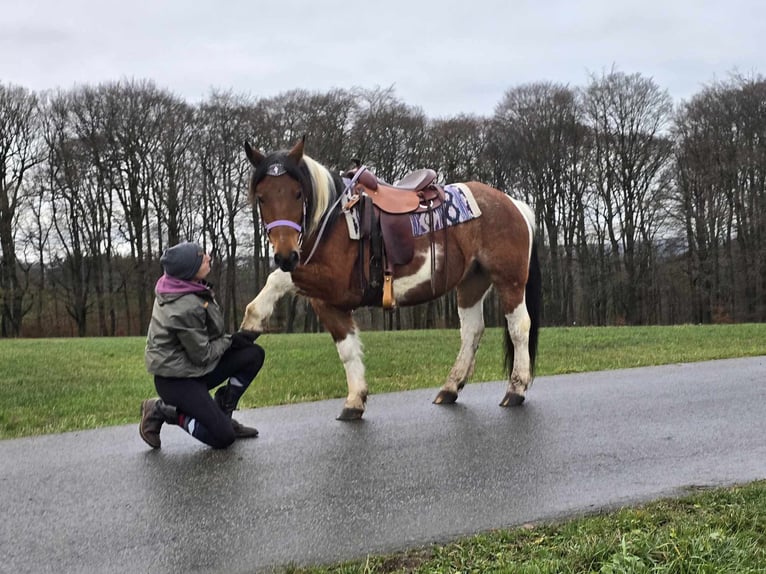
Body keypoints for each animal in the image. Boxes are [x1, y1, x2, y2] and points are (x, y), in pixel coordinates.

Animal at [238, 137, 540, 420]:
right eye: (262, 197)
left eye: (298, 193)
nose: (286, 255)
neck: (334, 221)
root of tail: (513, 203)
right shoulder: (327, 303)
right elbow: (347, 350)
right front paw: (354, 401)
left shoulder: (335, 285)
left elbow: (278, 279)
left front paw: (251, 323)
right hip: (471, 283)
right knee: (471, 331)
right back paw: (450, 388)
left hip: (509, 280)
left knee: (518, 327)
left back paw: (516, 389)